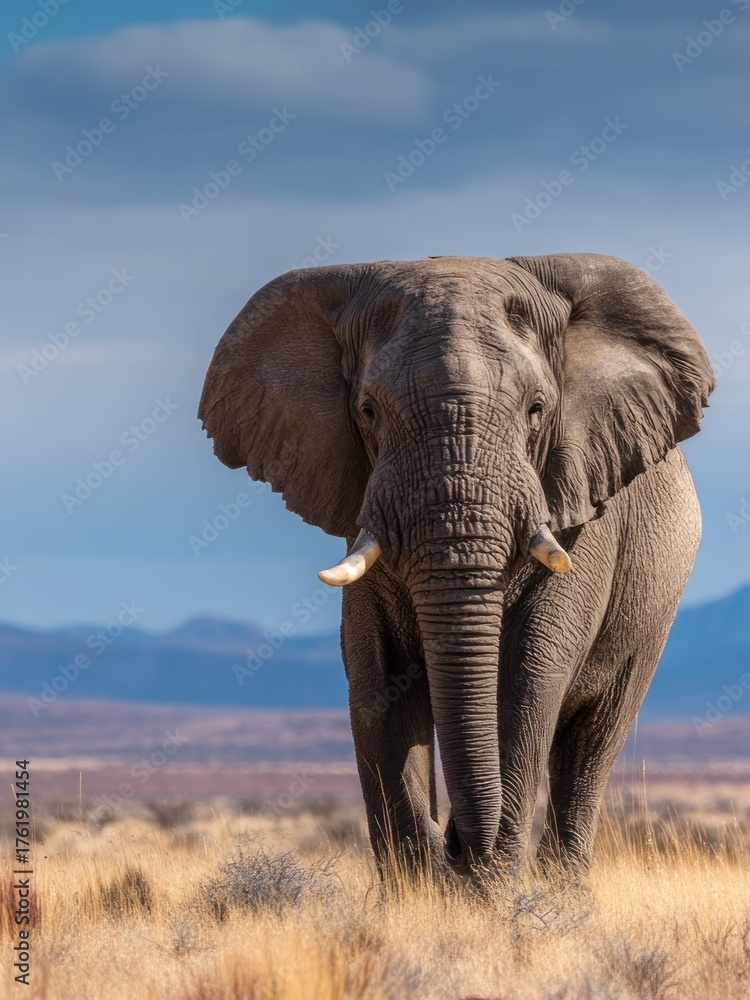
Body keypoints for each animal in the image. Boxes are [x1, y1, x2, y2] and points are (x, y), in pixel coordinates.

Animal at [198, 253, 713, 882]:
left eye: (537, 410)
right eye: (368, 411)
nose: (456, 847)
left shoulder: (584, 511)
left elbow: (527, 677)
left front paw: (489, 888)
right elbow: (379, 678)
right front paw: (418, 885)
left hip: (653, 613)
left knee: (591, 744)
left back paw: (561, 887)